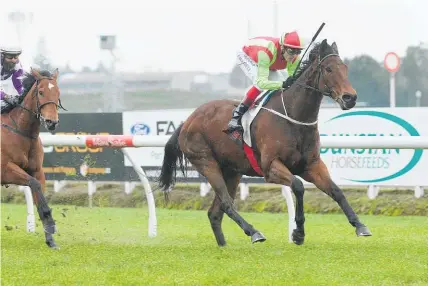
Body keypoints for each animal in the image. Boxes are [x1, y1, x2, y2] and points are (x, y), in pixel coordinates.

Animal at [159, 39, 372, 247]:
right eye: (328, 69)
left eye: (345, 68)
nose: (350, 98)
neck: (294, 118)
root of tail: (187, 120)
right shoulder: (271, 167)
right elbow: (298, 186)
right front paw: (298, 233)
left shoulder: (312, 165)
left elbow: (336, 191)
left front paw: (360, 225)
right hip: (206, 163)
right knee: (226, 203)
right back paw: (254, 232)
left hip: (232, 171)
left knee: (215, 212)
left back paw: (224, 245)